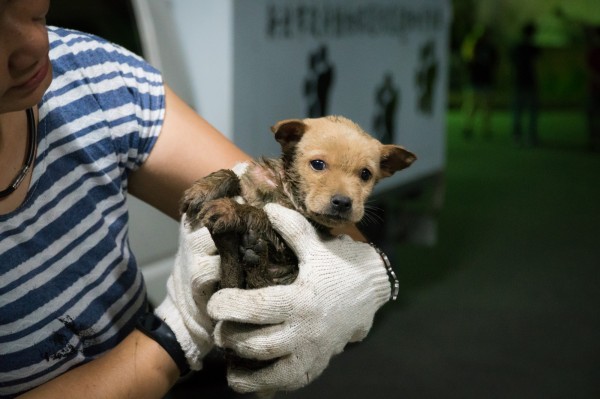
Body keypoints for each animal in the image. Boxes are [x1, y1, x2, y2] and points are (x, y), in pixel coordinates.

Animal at [183, 115, 414, 290]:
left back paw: (246, 253)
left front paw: (232, 209)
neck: (287, 192)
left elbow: (262, 215)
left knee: (251, 284)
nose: (342, 202)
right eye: (318, 164)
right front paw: (205, 188)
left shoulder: (285, 248)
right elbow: (233, 176)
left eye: (366, 174)